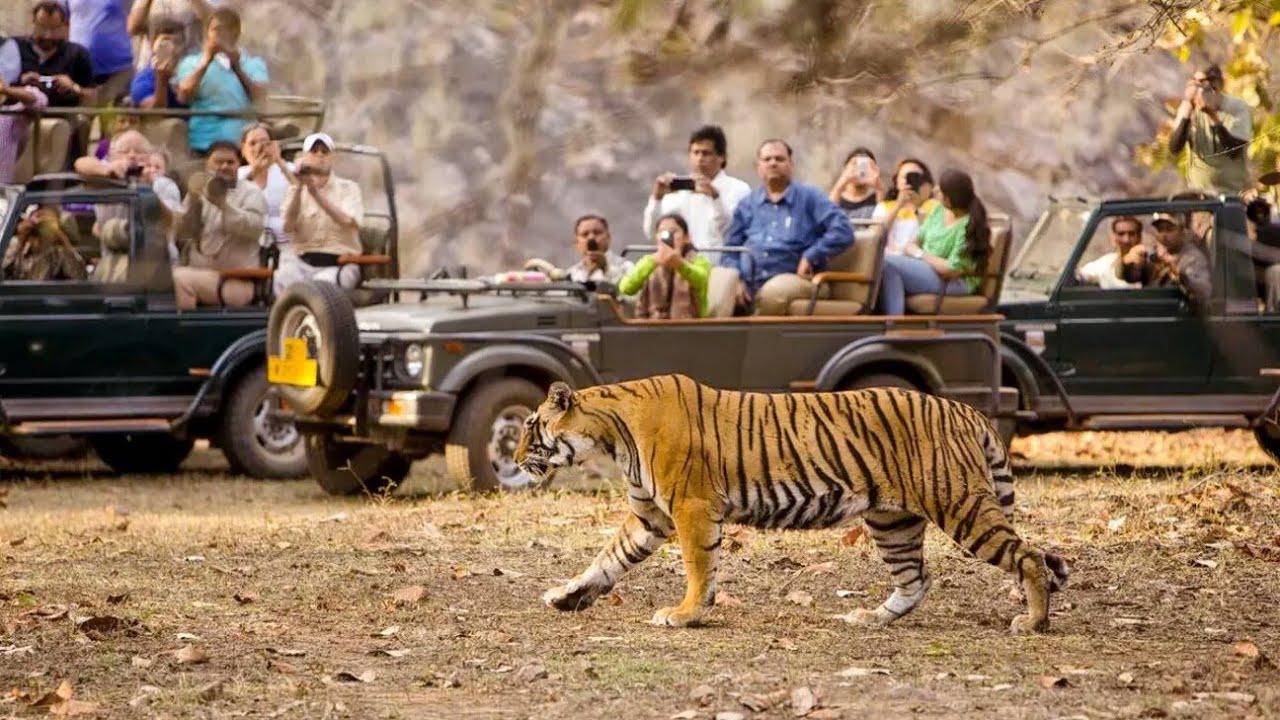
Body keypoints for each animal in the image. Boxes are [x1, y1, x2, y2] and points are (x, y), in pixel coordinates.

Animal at [514, 374, 1069, 634]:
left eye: (531, 427)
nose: (517, 459)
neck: (610, 434)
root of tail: (965, 409)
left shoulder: (690, 507)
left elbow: (698, 566)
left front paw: (686, 614)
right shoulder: (649, 516)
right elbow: (607, 559)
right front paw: (566, 595)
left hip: (960, 504)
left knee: (1029, 556)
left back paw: (1033, 623)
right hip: (893, 520)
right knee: (916, 579)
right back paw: (870, 618)